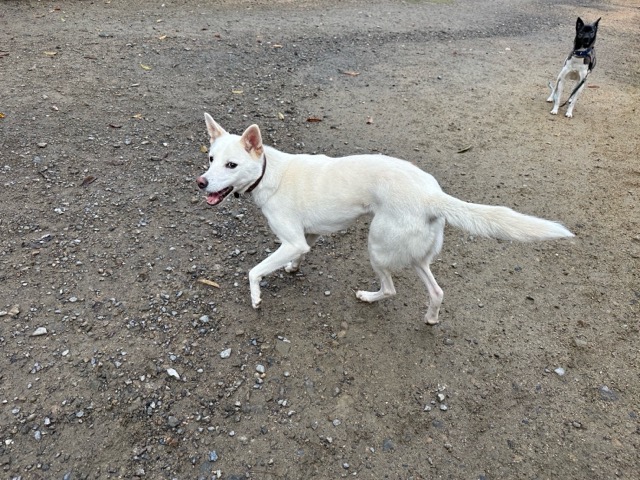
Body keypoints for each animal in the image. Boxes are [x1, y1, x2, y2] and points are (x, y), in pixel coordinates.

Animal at [196, 114, 574, 325]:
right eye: (211, 159)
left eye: (231, 165)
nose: (201, 182)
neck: (267, 171)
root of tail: (432, 195)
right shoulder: (306, 238)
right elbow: (298, 255)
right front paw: (290, 268)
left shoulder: (293, 240)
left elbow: (254, 270)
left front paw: (256, 296)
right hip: (415, 254)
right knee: (436, 291)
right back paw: (431, 318)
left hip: (377, 247)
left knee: (391, 289)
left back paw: (368, 296)